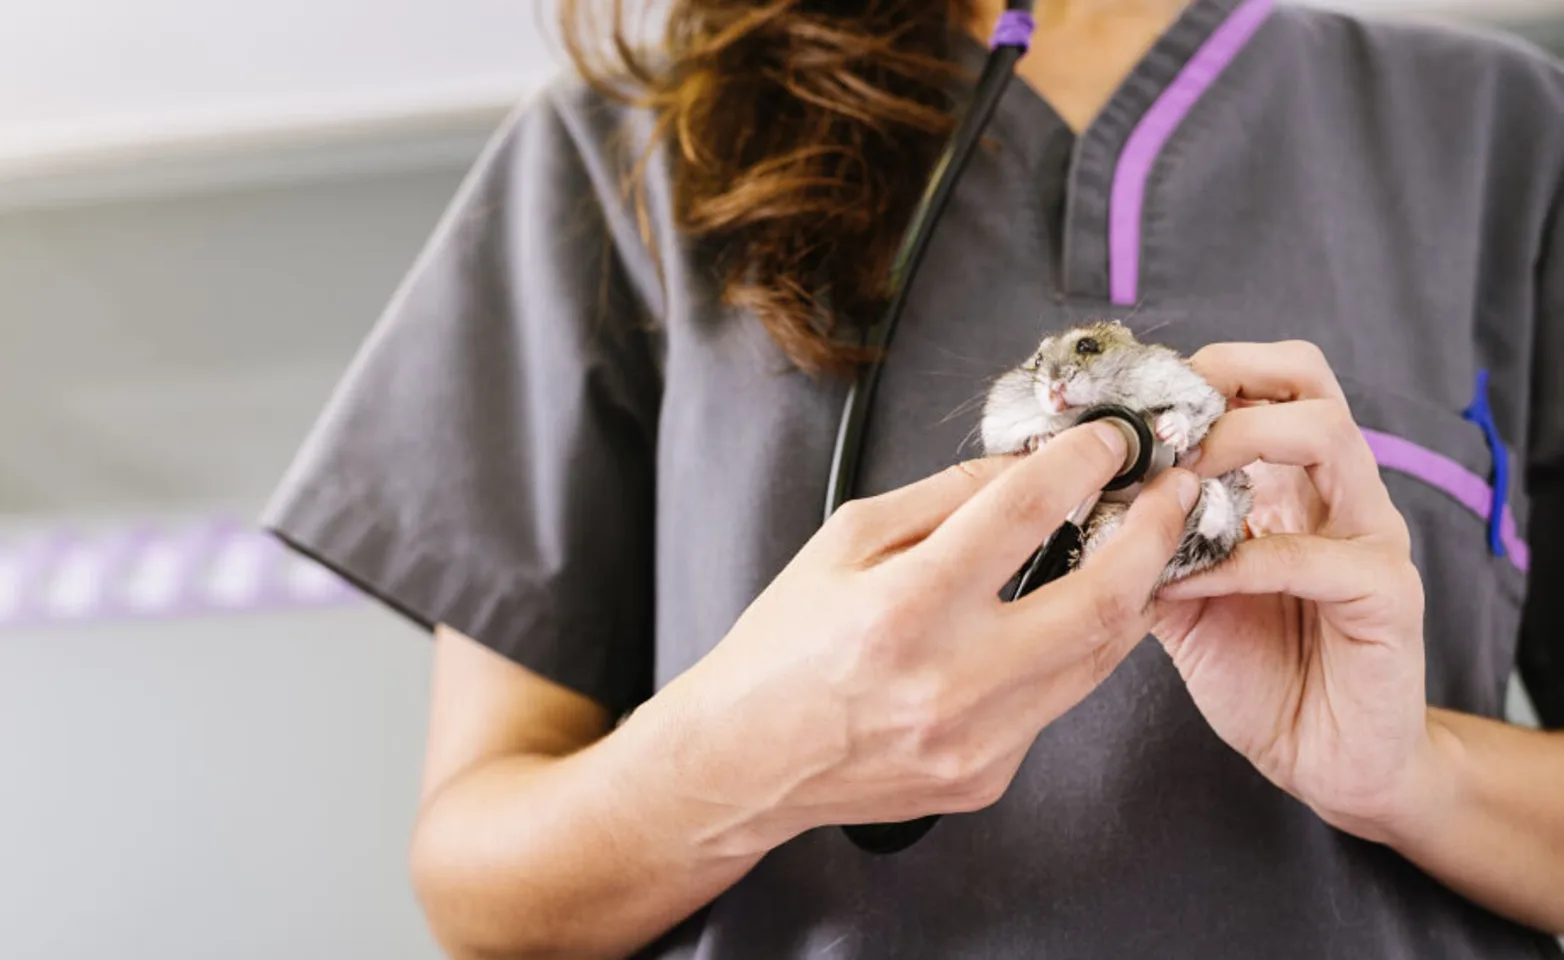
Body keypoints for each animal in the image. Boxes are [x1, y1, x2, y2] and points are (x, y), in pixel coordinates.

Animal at [975, 320, 1257, 587]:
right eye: (1037, 361)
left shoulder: (1196, 391)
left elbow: (1191, 410)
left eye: (1087, 345)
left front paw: (1169, 431)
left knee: (1212, 533)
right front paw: (1042, 441)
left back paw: (1211, 492)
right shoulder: (997, 427)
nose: (1055, 389)